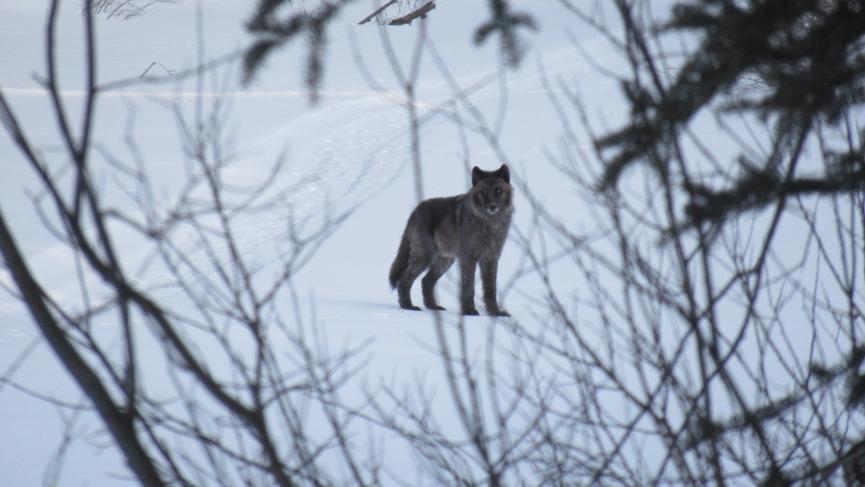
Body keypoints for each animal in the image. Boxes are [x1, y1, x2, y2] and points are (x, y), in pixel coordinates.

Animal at [389, 164, 513, 316]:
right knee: (404, 280)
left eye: (498, 190)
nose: (492, 206)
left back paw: (433, 307)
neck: (488, 224)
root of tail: (414, 212)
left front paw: (495, 312)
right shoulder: (468, 259)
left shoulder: (491, 259)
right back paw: (408, 306)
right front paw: (469, 311)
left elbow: (491, 289)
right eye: (483, 192)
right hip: (425, 257)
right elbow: (468, 287)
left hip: (445, 261)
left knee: (425, 281)